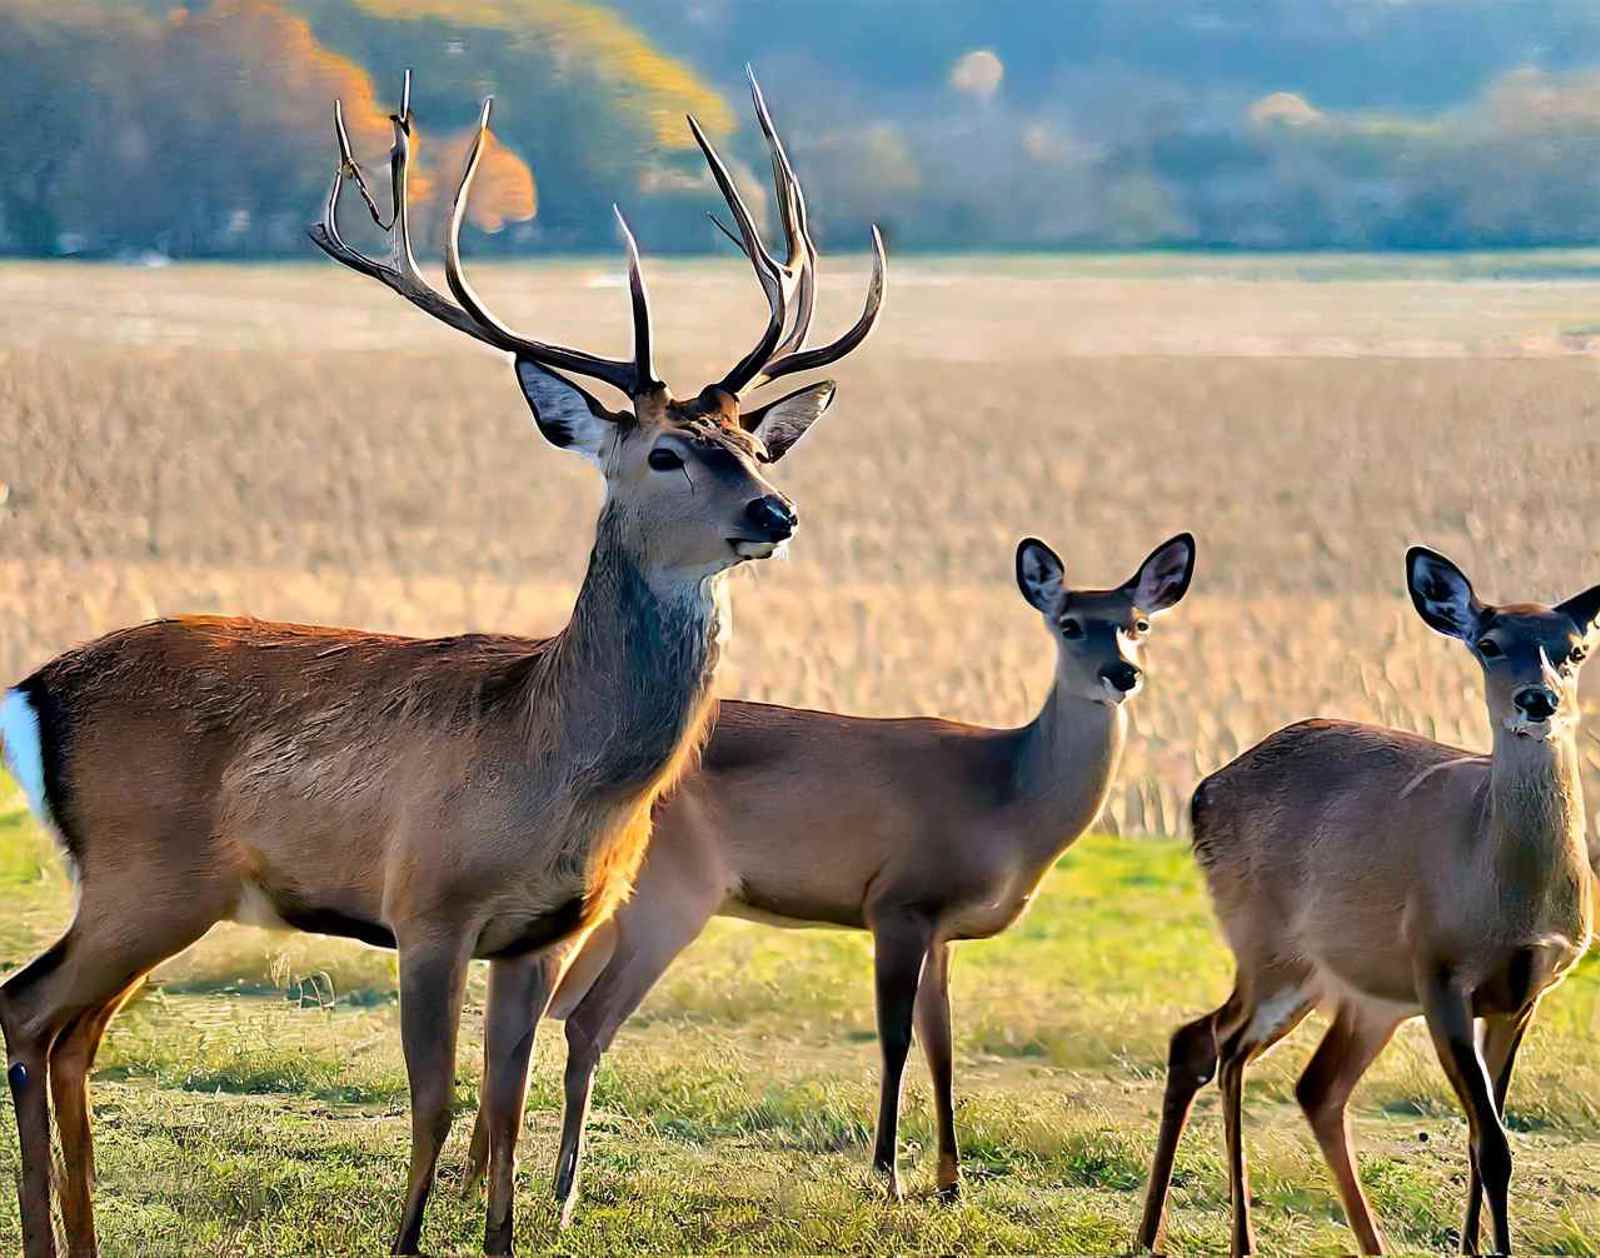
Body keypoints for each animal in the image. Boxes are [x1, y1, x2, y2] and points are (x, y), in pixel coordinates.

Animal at [0, 69, 885, 1258]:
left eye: (751, 444)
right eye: (666, 453)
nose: (775, 512)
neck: (554, 769)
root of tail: (34, 686)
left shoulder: (546, 932)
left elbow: (504, 1110)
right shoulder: (425, 902)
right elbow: (434, 1102)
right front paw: (408, 1236)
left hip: (155, 889)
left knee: (72, 1033)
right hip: (145, 869)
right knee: (28, 1009)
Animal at [455, 532, 1199, 1222]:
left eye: (1138, 623)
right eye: (1069, 623)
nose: (1122, 674)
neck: (1009, 797)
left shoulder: (943, 931)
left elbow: (944, 1047)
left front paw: (950, 1184)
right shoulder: (900, 903)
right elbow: (896, 1039)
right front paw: (887, 1176)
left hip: (606, 910)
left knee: (525, 1016)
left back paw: (477, 1178)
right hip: (668, 899)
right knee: (583, 1022)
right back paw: (559, 1193)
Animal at [1136, 546, 1600, 1257]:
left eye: (1574, 649)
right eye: (1489, 645)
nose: (1538, 699)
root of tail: (1202, 791)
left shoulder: (1524, 994)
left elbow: (1482, 1137)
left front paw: (1473, 1246)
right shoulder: (1438, 971)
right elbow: (1493, 1144)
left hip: (1353, 990)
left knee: (1298, 1079)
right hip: (1267, 942)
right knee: (1220, 1045)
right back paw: (1222, 1238)